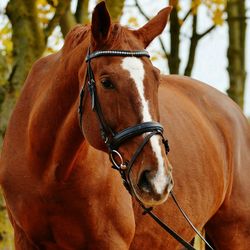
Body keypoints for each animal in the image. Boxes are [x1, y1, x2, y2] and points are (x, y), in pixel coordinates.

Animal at [0, 2, 250, 250]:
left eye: (156, 79)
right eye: (106, 82)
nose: (157, 179)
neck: (49, 172)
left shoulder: (110, 241)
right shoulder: (24, 239)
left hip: (235, 234)